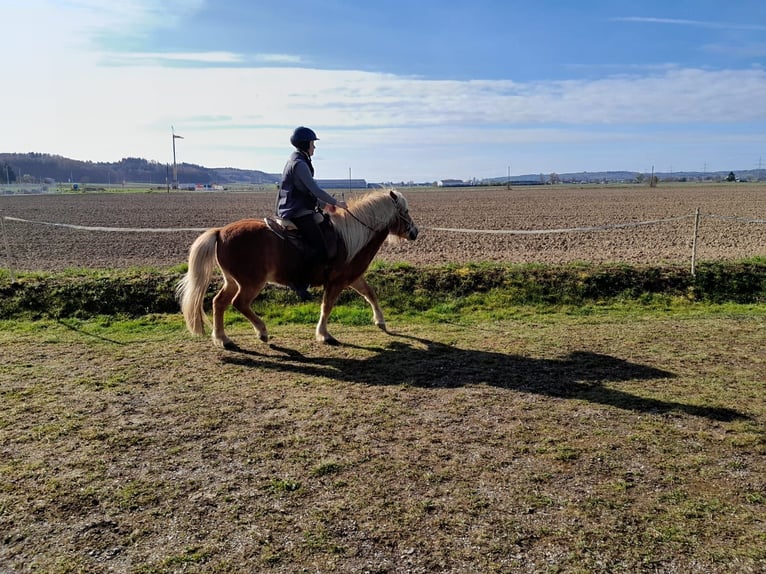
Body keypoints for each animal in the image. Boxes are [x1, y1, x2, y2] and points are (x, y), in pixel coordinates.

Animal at [176, 189, 418, 347]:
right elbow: (327, 306)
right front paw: (324, 334)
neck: (351, 236)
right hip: (251, 283)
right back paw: (261, 332)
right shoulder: (337, 281)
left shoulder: (352, 277)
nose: (415, 232)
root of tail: (220, 232)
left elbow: (370, 294)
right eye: (405, 211)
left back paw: (223, 338)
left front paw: (380, 321)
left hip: (232, 281)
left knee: (219, 303)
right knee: (239, 303)